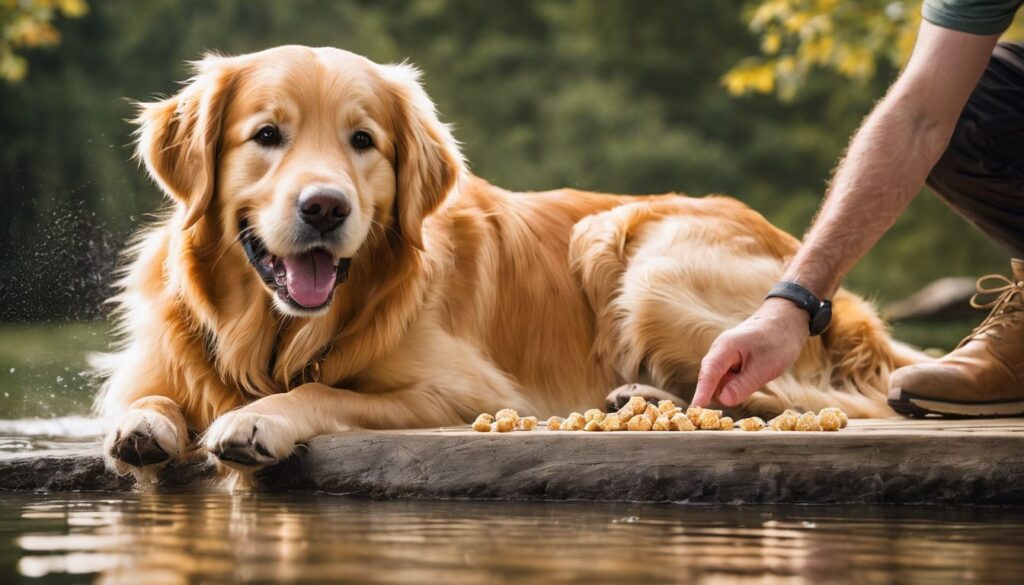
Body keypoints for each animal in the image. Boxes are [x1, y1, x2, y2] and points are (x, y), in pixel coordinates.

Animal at [96, 46, 921, 481]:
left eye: (364, 141)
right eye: (267, 135)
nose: (325, 207)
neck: (276, 328)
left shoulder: (469, 389)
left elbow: (324, 387)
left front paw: (257, 417)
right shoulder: (158, 362)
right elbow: (148, 396)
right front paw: (144, 425)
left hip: (635, 255)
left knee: (793, 391)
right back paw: (635, 397)